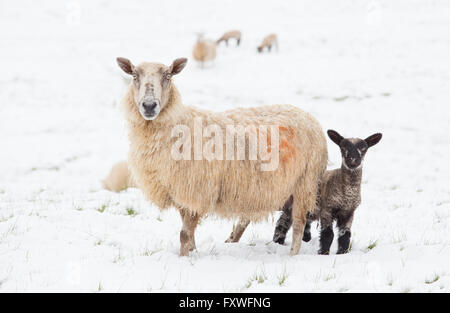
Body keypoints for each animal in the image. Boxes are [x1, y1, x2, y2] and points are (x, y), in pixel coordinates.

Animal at [116, 56, 326, 256]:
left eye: (168, 76)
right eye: (134, 75)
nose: (149, 105)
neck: (178, 125)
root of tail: (309, 117)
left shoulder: (197, 190)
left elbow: (184, 234)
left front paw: (184, 258)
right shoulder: (183, 194)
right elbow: (189, 234)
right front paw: (193, 251)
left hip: (304, 183)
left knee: (298, 223)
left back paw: (292, 255)